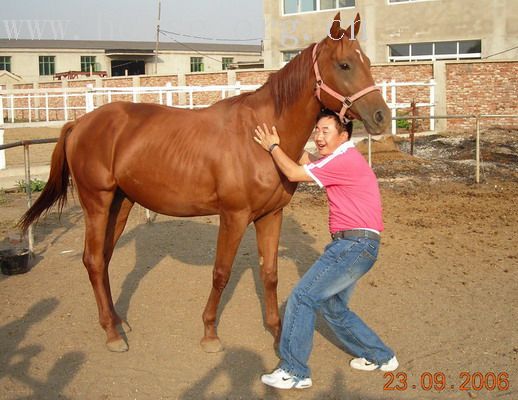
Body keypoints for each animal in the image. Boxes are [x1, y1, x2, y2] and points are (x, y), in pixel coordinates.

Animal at [20, 13, 392, 354]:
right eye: (344, 65)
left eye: (366, 61)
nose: (381, 117)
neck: (259, 137)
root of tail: (80, 122)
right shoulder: (234, 216)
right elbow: (221, 272)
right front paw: (210, 333)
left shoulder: (271, 216)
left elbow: (270, 274)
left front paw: (276, 333)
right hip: (97, 203)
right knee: (94, 260)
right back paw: (112, 334)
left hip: (120, 204)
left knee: (104, 259)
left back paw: (116, 320)